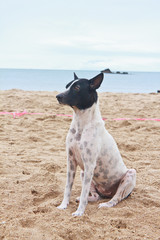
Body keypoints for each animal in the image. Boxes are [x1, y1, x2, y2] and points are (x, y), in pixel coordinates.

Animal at [56, 71, 136, 216]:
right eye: (67, 86)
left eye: (77, 88)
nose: (58, 96)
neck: (81, 124)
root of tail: (107, 193)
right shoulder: (71, 162)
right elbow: (67, 188)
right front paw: (63, 205)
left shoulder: (89, 164)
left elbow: (83, 193)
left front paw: (79, 212)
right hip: (84, 174)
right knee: (95, 195)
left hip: (130, 175)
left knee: (115, 199)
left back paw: (106, 204)